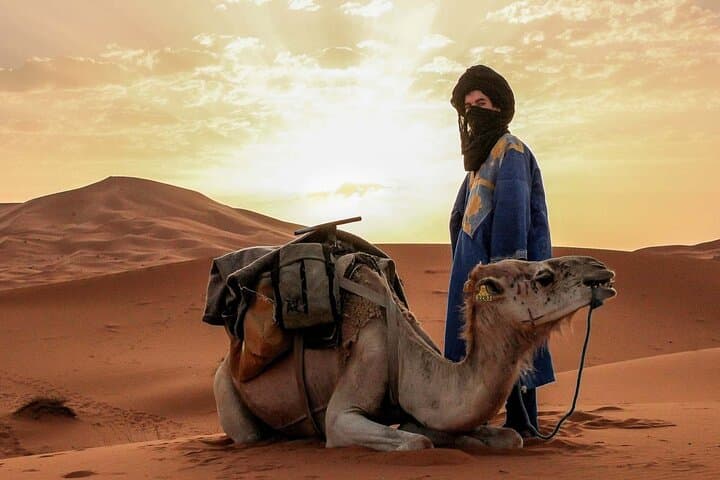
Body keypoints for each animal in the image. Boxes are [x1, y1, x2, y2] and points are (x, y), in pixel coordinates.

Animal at [213, 255, 616, 451]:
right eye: (544, 277)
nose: (602, 272)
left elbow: (509, 437)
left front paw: (469, 439)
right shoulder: (356, 384)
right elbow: (417, 441)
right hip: (227, 391)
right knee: (251, 435)